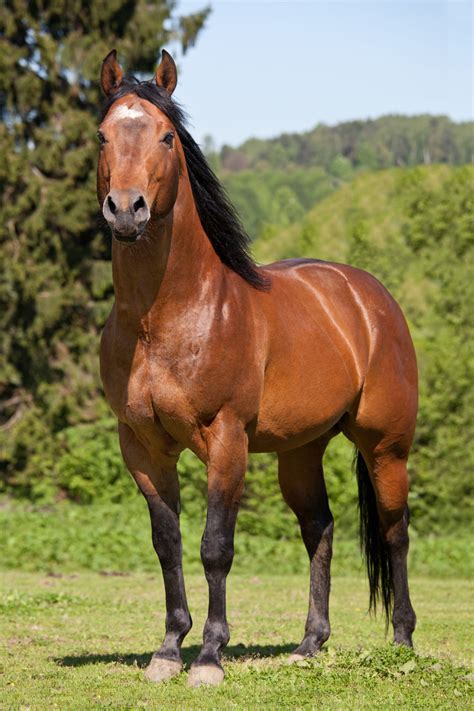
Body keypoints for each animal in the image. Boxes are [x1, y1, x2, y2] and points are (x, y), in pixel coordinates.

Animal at [97, 49, 417, 687]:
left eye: (167, 136)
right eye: (101, 136)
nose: (126, 210)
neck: (164, 320)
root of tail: (370, 297)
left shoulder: (227, 440)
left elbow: (215, 546)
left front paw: (209, 657)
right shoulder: (142, 446)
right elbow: (167, 543)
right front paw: (168, 651)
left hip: (386, 447)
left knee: (395, 532)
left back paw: (401, 642)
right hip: (301, 451)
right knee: (320, 528)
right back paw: (310, 644)